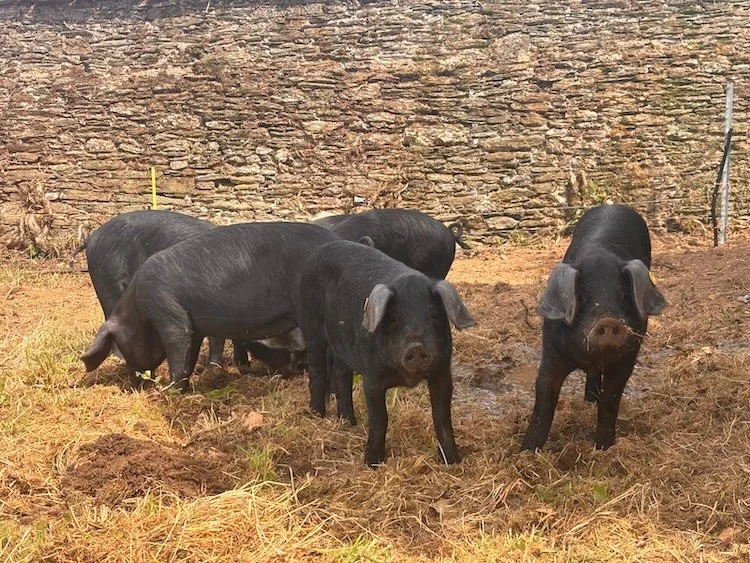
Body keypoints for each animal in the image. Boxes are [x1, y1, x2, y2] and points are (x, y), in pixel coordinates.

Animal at [81, 222, 339, 391]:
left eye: (123, 346)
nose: (133, 386)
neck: (137, 308)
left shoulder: (168, 314)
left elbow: (176, 351)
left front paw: (169, 391)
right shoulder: (193, 325)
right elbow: (190, 356)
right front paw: (185, 387)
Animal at [299, 240, 476, 466]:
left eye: (433, 315)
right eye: (394, 318)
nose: (416, 347)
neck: (406, 377)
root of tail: (322, 249)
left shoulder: (442, 372)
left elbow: (442, 417)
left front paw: (453, 461)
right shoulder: (372, 378)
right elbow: (379, 419)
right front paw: (372, 463)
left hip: (342, 344)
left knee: (341, 373)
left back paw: (348, 422)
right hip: (310, 322)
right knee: (317, 370)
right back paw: (317, 414)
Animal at [521, 204, 667, 451]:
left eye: (624, 296)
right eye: (582, 297)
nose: (608, 321)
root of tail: (612, 204)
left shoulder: (627, 358)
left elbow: (610, 398)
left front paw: (603, 447)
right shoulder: (551, 353)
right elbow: (544, 399)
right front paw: (526, 450)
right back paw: (589, 400)